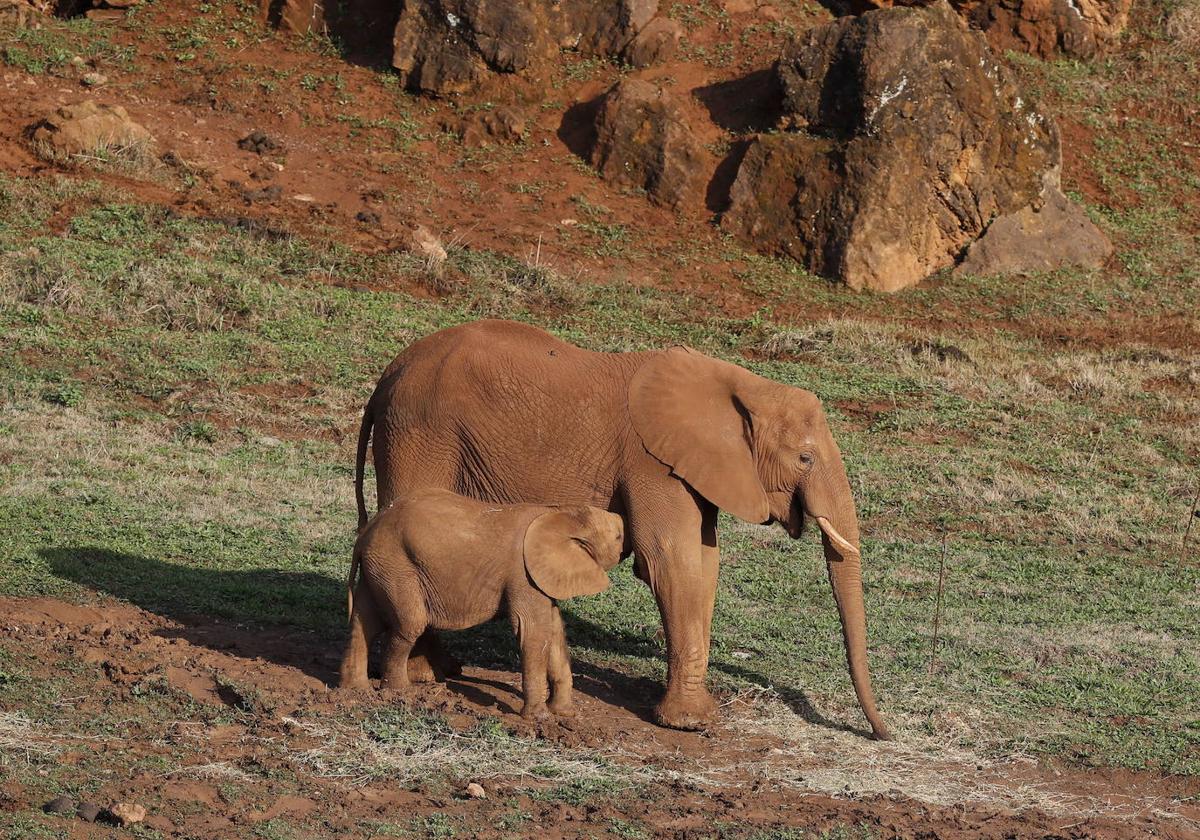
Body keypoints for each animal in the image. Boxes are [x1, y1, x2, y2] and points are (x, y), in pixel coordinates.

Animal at [333, 489, 624, 720]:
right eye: (619, 537)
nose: (624, 544)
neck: (559, 513)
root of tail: (364, 534)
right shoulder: (523, 574)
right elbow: (532, 632)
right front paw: (539, 718)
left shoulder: (541, 577)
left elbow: (553, 631)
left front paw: (564, 713)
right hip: (397, 567)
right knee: (409, 625)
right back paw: (399, 692)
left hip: (380, 567)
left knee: (365, 623)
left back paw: (355, 690)